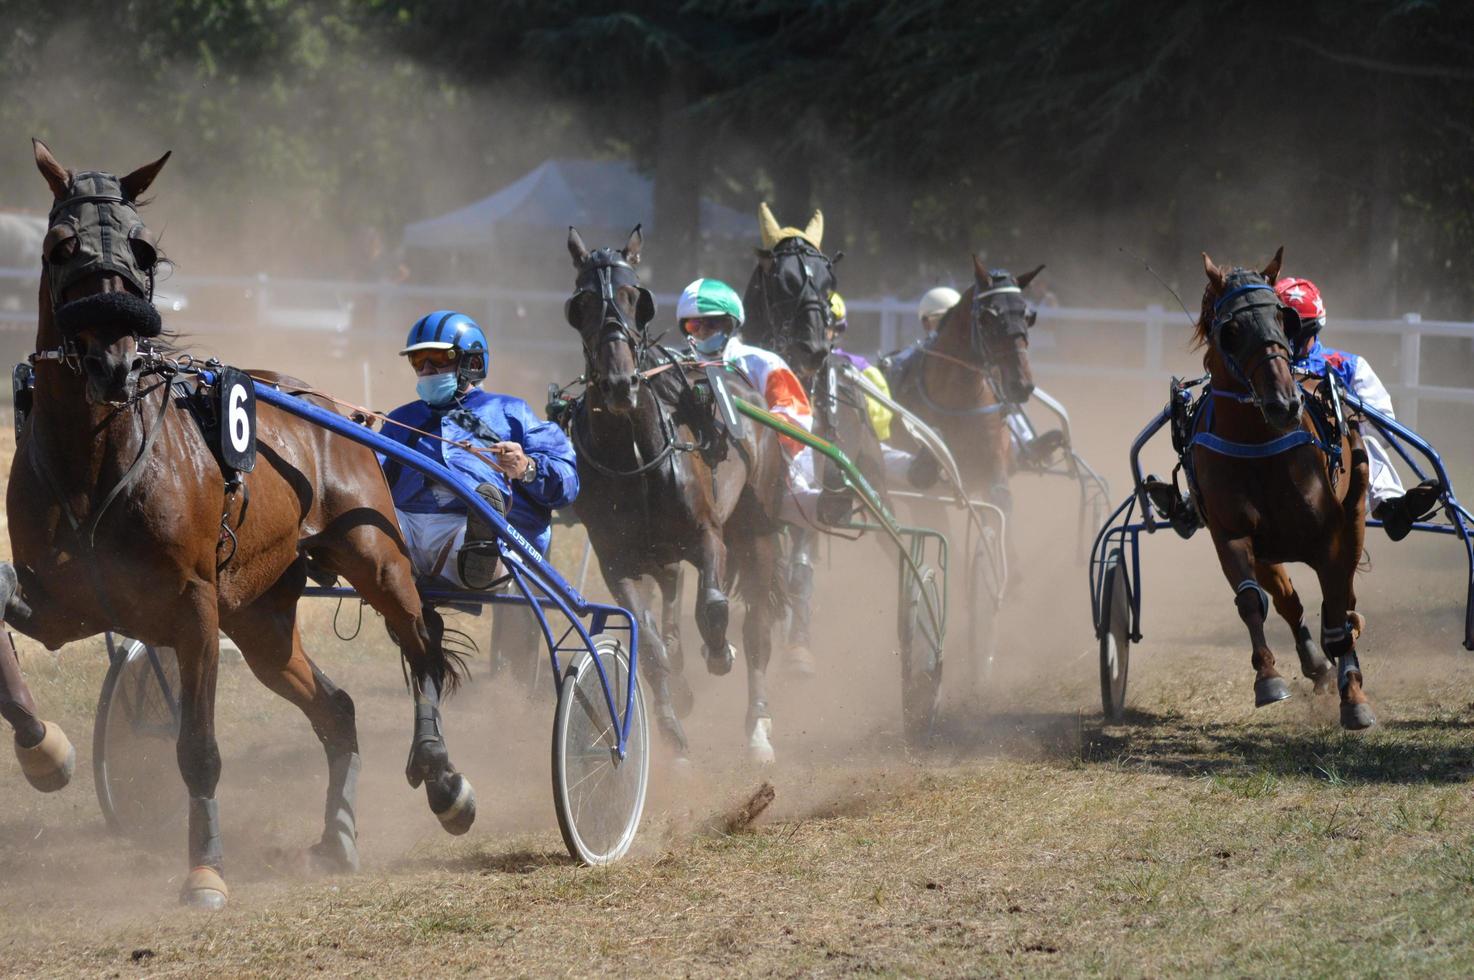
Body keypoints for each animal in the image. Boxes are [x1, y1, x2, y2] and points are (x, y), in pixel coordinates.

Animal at [0, 143, 471, 907]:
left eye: (143, 248)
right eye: (59, 245)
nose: (112, 359)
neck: (100, 458)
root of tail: (326, 406)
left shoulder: (194, 606)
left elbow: (197, 748)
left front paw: (205, 869)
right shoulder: (64, 604)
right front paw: (45, 752)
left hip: (374, 554)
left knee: (421, 641)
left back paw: (442, 776)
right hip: (260, 619)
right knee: (337, 709)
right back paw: (337, 835)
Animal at [557, 225, 790, 760]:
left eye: (633, 296)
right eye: (582, 302)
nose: (620, 383)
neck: (634, 456)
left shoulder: (708, 534)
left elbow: (715, 606)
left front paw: (718, 649)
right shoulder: (617, 559)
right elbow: (650, 646)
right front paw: (671, 729)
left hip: (759, 527)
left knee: (757, 627)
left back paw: (758, 726)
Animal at [878, 256, 1043, 506]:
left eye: (1027, 315)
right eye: (986, 317)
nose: (1021, 384)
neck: (956, 400)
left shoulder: (993, 469)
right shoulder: (923, 498)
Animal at [1190, 250, 1373, 725]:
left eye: (1280, 317)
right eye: (1231, 329)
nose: (1285, 403)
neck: (1259, 443)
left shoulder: (1330, 537)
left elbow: (1337, 615)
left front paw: (1354, 697)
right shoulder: (1231, 534)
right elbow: (1252, 602)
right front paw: (1268, 678)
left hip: (1355, 515)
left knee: (1341, 600)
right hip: (1269, 549)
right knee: (1288, 600)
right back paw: (1315, 663)